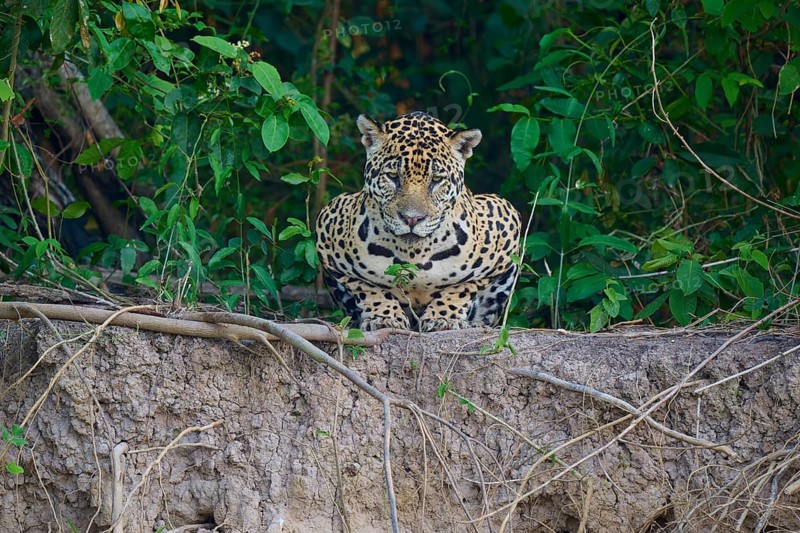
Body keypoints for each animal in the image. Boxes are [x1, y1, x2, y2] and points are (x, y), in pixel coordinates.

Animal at [315, 111, 521, 332]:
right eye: (392, 176)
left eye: (437, 179)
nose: (411, 218)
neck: (414, 254)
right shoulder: (327, 234)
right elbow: (365, 286)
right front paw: (384, 316)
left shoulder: (506, 223)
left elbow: (464, 286)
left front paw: (443, 317)